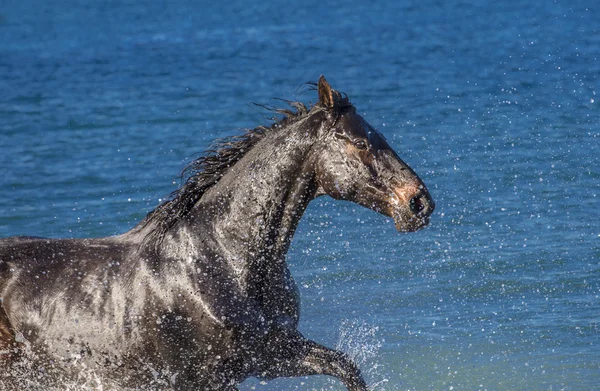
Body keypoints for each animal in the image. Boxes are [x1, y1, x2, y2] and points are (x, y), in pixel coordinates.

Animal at [0, 77, 432, 391]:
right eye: (360, 142)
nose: (419, 202)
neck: (224, 258)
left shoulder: (271, 354)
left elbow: (345, 366)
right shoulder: (208, 375)